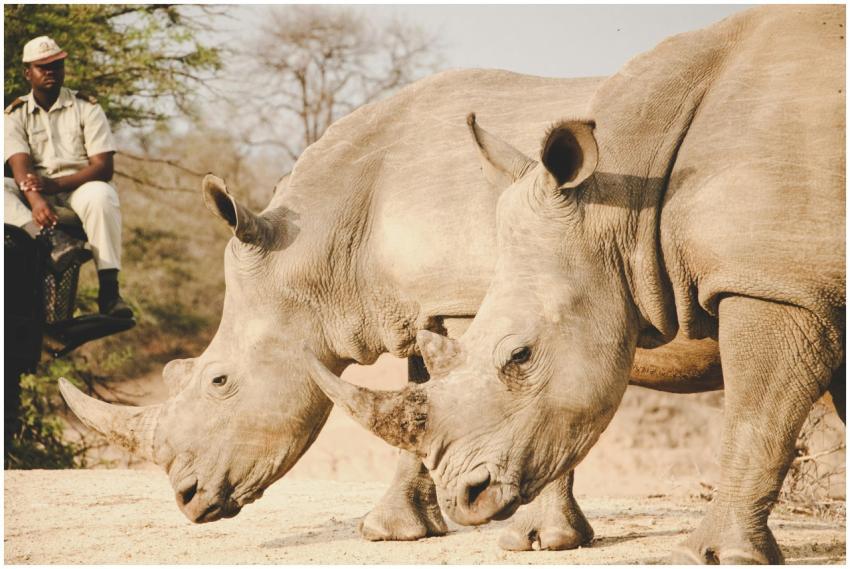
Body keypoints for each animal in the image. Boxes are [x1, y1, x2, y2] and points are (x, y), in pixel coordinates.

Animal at [61, 68, 719, 550]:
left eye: (219, 381)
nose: (187, 499)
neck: (324, 248)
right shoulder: (431, 304)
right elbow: (424, 393)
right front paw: (393, 532)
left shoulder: (494, 298)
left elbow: (529, 390)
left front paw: (538, 540)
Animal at [308, 5, 846, 563]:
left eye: (520, 356)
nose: (466, 497)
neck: (627, 198)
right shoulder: (813, 283)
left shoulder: (774, 283)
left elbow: (756, 418)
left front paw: (714, 556)